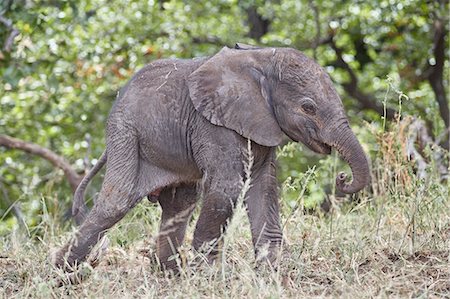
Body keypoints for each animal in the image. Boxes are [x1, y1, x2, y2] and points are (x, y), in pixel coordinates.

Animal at [52, 42, 370, 274]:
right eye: (308, 107)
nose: (343, 178)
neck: (260, 58)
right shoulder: (214, 124)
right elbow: (227, 188)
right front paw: (209, 276)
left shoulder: (261, 124)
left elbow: (264, 187)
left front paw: (274, 270)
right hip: (125, 135)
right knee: (116, 203)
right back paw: (60, 273)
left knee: (179, 205)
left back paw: (170, 275)